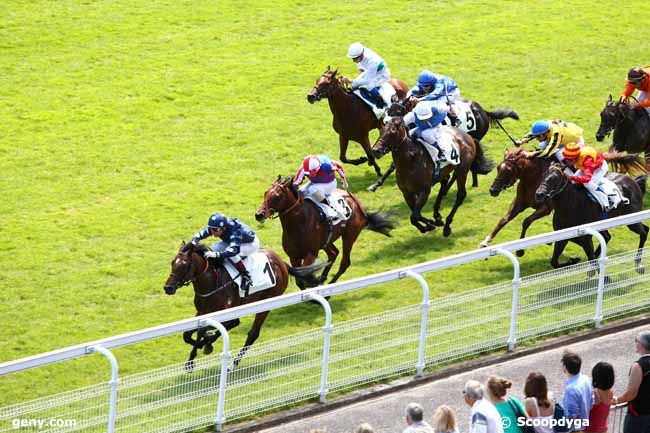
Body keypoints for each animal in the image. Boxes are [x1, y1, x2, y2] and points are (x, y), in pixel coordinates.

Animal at [165, 241, 322, 370]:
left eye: (184, 265)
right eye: (172, 263)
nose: (168, 288)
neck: (212, 283)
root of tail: (282, 263)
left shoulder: (224, 313)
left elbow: (203, 331)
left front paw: (204, 345)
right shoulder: (202, 313)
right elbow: (188, 334)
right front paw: (195, 355)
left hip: (267, 302)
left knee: (252, 333)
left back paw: (233, 364)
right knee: (236, 324)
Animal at [254, 176, 392, 284]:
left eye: (277, 196)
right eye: (266, 193)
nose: (259, 215)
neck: (298, 223)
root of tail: (357, 202)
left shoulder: (311, 254)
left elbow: (304, 276)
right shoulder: (294, 256)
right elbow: (300, 279)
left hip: (349, 236)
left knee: (345, 262)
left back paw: (330, 287)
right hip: (326, 241)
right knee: (333, 253)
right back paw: (323, 278)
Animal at [368, 94, 520, 189]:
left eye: (398, 111)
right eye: (389, 110)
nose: (386, 122)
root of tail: (484, 111)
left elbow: (393, 165)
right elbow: (393, 166)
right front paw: (375, 184)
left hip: (475, 136)